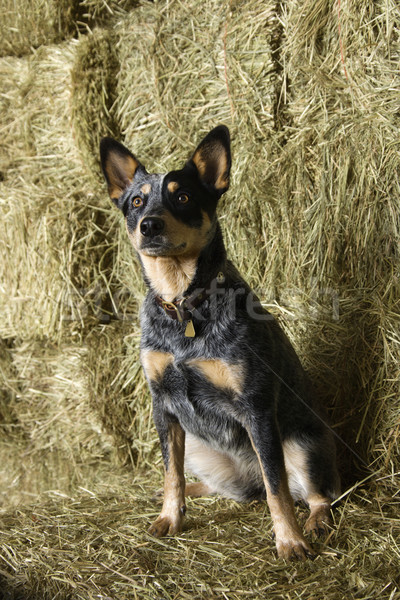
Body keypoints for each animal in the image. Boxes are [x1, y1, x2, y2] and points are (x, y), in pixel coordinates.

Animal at [99, 124, 338, 560]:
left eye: (183, 196)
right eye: (137, 201)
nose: (149, 225)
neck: (183, 306)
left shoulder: (256, 407)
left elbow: (278, 487)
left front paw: (289, 541)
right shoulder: (163, 405)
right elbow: (171, 473)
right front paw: (169, 516)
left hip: (302, 444)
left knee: (309, 493)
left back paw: (315, 523)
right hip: (198, 446)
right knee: (222, 487)